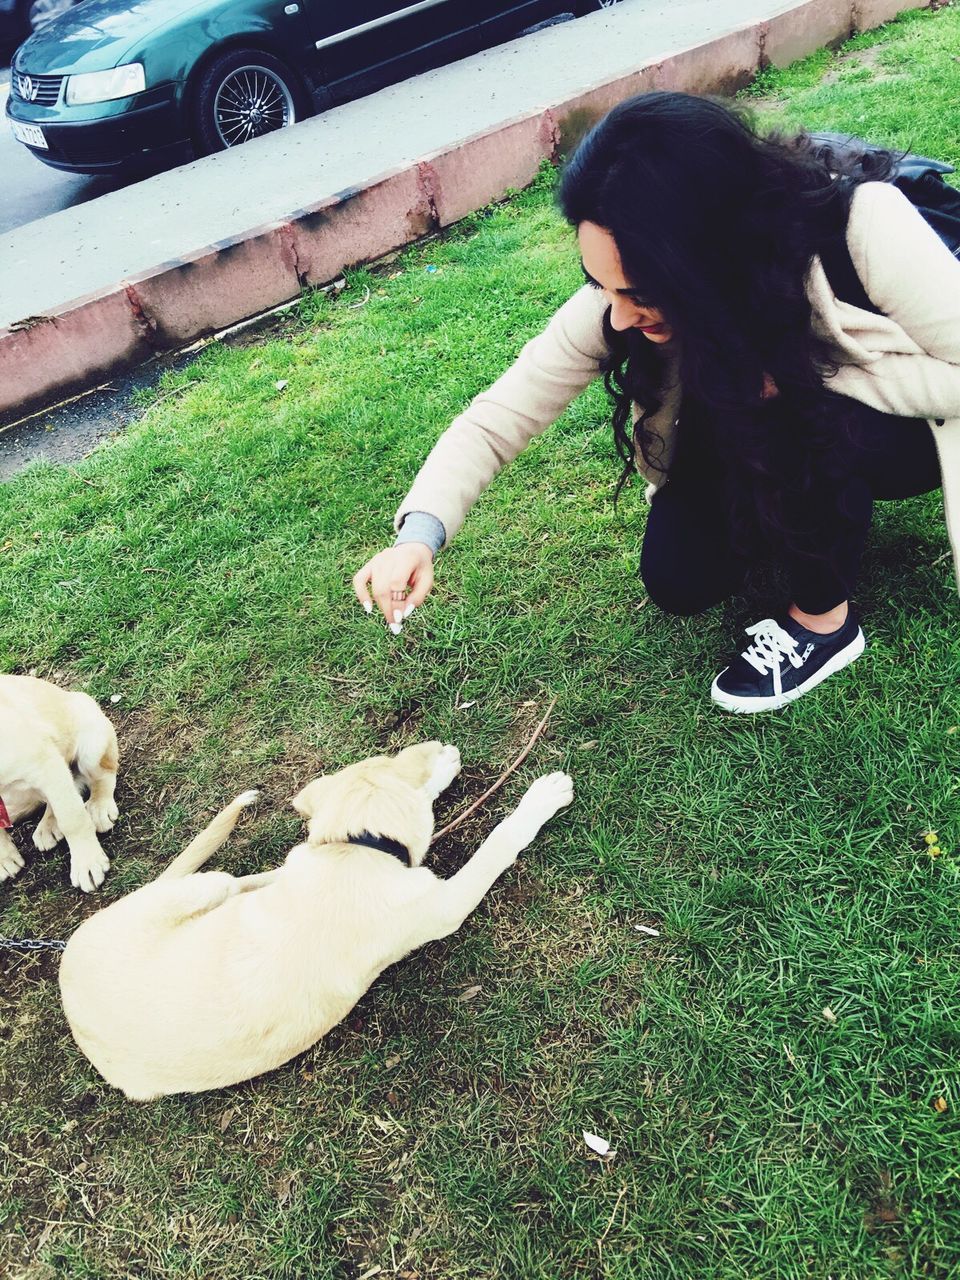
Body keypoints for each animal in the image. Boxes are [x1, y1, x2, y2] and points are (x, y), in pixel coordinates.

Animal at [0, 675, 119, 896]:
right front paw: (4, 858)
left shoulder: (45, 767)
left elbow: (72, 820)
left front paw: (87, 862)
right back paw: (48, 825)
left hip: (91, 744)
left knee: (102, 776)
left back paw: (99, 807)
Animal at [60, 742, 576, 1100]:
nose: (445, 754)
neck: (353, 849)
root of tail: (66, 966)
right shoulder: (444, 903)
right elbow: (499, 841)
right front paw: (539, 799)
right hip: (204, 885)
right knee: (227, 882)